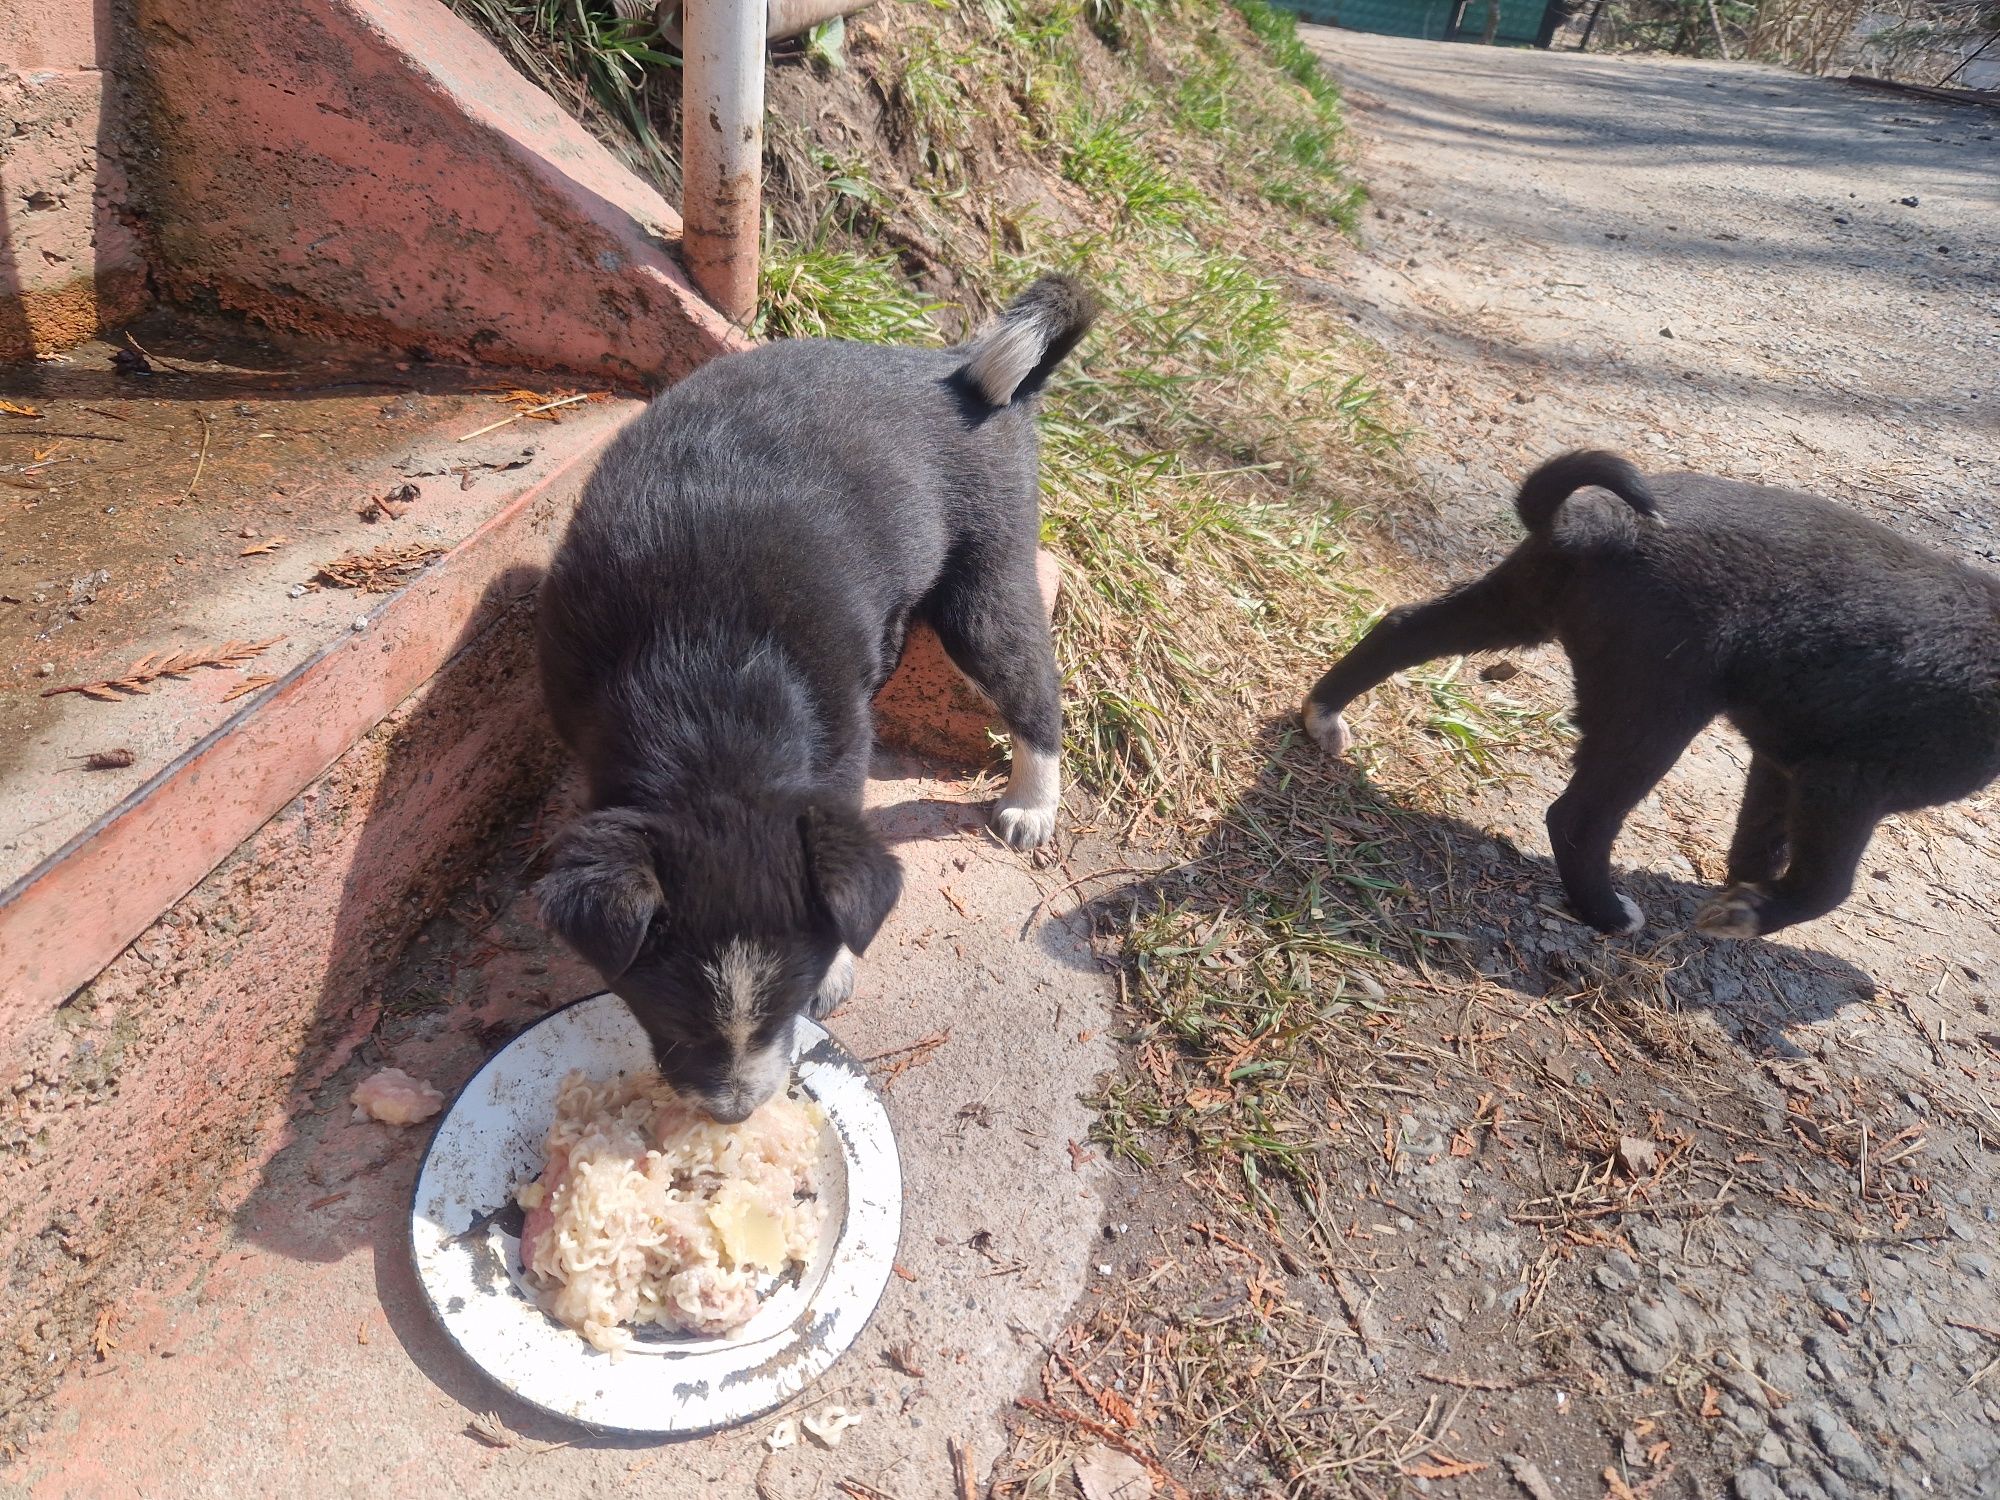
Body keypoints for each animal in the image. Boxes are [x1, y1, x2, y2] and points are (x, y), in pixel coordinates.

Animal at [532, 276, 1096, 1120]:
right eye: (667, 1019)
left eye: (786, 1009)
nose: (735, 1111)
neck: (712, 709)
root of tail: (958, 373)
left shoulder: (840, 747)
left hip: (986, 589)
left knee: (1037, 693)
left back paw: (1033, 803)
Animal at [1304, 452, 2000, 940]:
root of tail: (1602, 525)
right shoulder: (1845, 782)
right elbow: (1827, 885)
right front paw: (1749, 915)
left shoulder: (1783, 764)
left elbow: (1761, 841)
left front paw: (1742, 894)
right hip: (1655, 709)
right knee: (1578, 818)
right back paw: (1608, 914)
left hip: (1519, 605)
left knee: (1401, 629)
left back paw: (1322, 715)